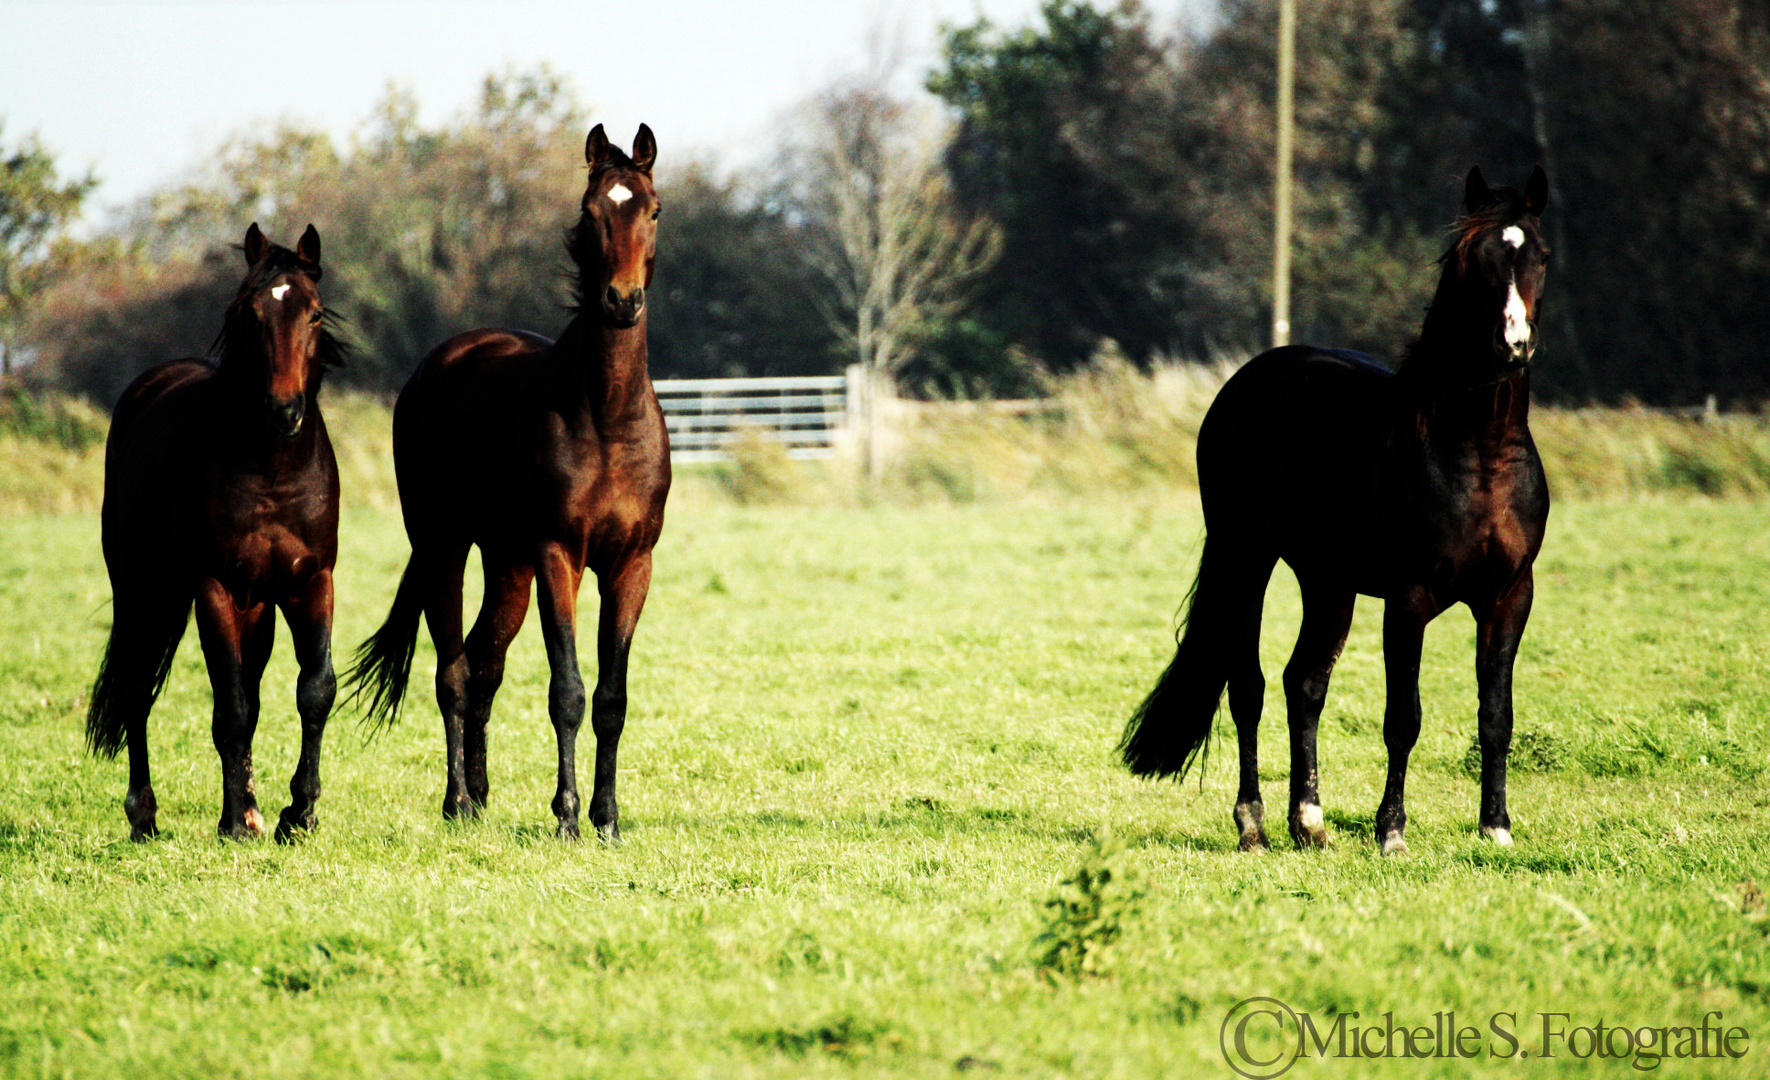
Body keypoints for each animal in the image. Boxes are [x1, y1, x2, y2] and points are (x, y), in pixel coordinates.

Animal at [84, 220, 345, 842]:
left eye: (313, 314)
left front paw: (297, 814)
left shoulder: (312, 583)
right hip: (141, 591)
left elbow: (313, 690)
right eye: (251, 313)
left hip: (257, 607)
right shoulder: (214, 588)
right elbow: (230, 707)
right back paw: (144, 815)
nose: (284, 410)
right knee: (137, 689)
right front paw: (236, 822)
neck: (272, 471)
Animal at [345, 122, 669, 835]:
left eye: (653, 210)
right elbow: (568, 691)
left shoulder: (632, 564)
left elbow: (612, 697)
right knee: (452, 670)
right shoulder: (559, 557)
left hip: (507, 565)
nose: (622, 301)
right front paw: (569, 816)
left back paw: (481, 792)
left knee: (483, 663)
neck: (606, 414)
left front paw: (606, 818)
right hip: (444, 547)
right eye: (591, 211)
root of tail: (438, 363)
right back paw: (458, 800)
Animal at [1118, 166, 1550, 849]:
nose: (1513, 343)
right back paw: (1253, 825)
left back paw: (1310, 821)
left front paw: (1496, 828)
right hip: (1246, 556)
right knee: (1249, 687)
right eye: (1472, 259)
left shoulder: (1510, 596)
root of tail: (1252, 378)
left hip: (1328, 582)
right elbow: (1404, 717)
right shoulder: (1409, 598)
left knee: (1304, 683)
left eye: (1540, 256)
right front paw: (1391, 833)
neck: (1476, 453)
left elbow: (1496, 716)